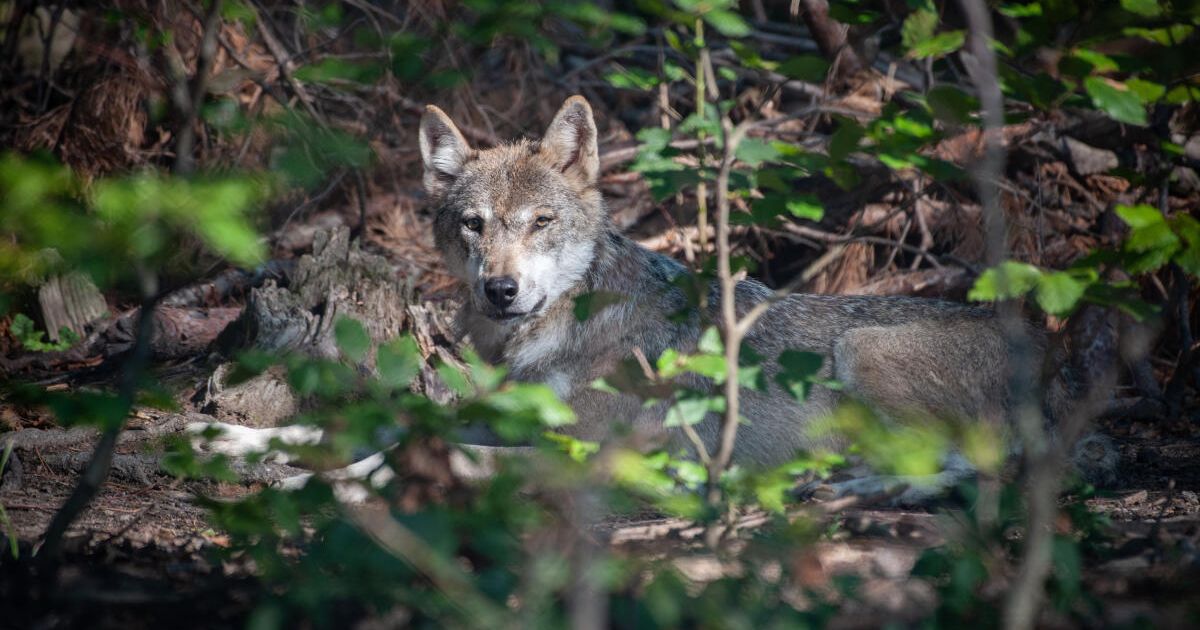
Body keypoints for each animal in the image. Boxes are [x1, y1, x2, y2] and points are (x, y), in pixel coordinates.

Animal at [192, 96, 1115, 504]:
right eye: (473, 225)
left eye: (540, 223)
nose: (499, 288)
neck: (552, 335)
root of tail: (1055, 353)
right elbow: (365, 426)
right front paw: (220, 439)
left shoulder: (583, 455)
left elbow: (406, 456)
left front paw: (316, 485)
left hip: (862, 352)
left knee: (979, 470)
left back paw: (845, 486)